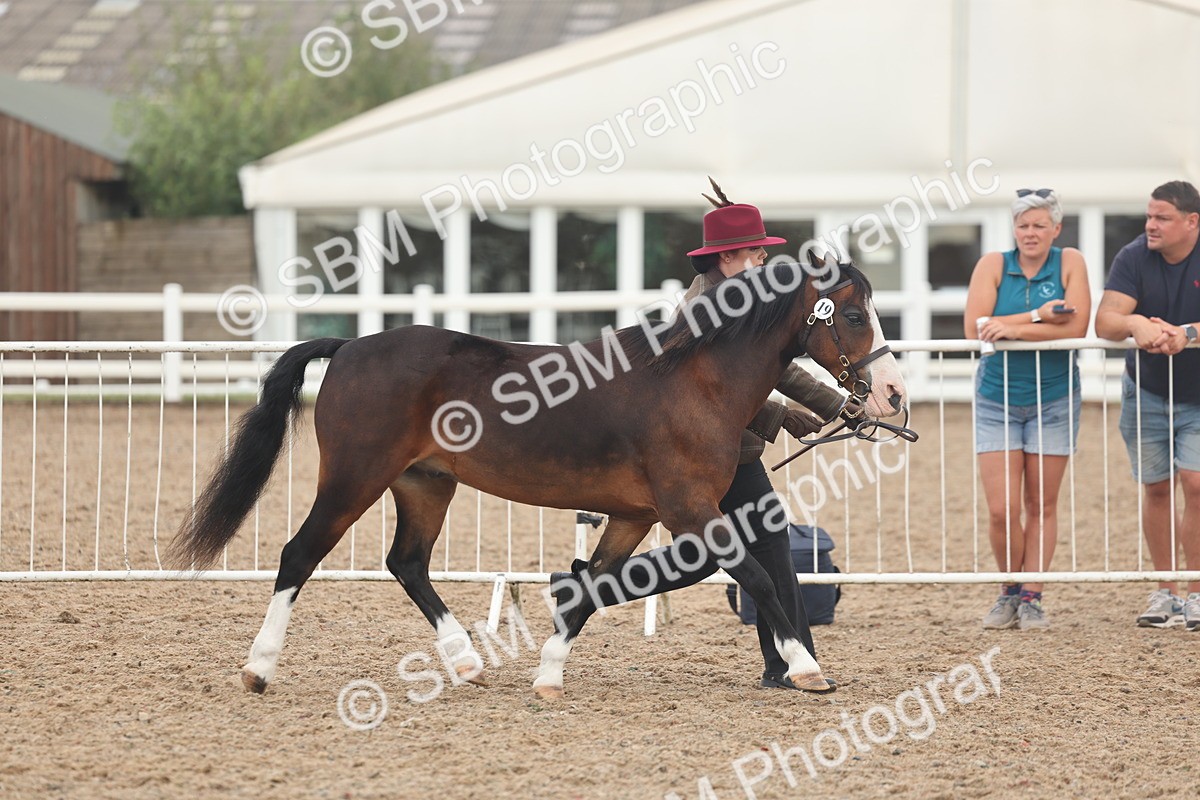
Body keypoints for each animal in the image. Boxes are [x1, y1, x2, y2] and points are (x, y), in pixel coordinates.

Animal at [169, 250, 907, 699]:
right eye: (852, 315)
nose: (892, 394)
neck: (693, 381)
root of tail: (350, 345)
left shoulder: (635, 516)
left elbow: (591, 586)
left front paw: (548, 675)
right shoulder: (691, 511)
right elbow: (758, 576)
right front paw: (808, 670)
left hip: (426, 483)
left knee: (407, 563)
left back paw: (466, 661)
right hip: (354, 478)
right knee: (299, 555)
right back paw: (258, 669)